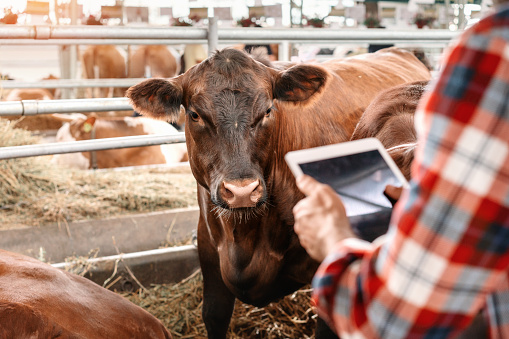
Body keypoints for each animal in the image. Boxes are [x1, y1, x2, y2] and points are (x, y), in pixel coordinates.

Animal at [126, 47, 428, 338]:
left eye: (269, 110)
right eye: (195, 114)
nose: (241, 190)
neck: (245, 237)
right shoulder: (210, 257)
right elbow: (214, 316)